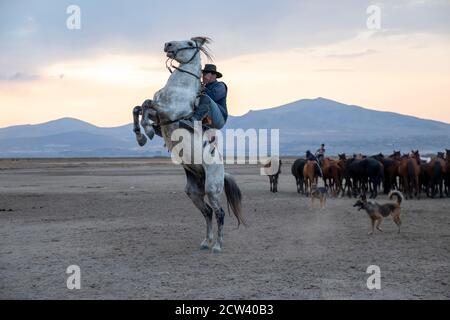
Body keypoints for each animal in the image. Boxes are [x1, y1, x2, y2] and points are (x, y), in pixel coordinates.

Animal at [132, 37, 244, 252]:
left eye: (191, 43)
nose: (167, 45)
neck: (180, 87)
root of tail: (222, 171)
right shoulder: (161, 117)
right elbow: (139, 107)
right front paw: (142, 134)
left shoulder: (168, 112)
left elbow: (147, 103)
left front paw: (145, 132)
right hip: (193, 191)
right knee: (207, 212)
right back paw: (206, 242)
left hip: (212, 188)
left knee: (219, 212)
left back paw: (218, 245)